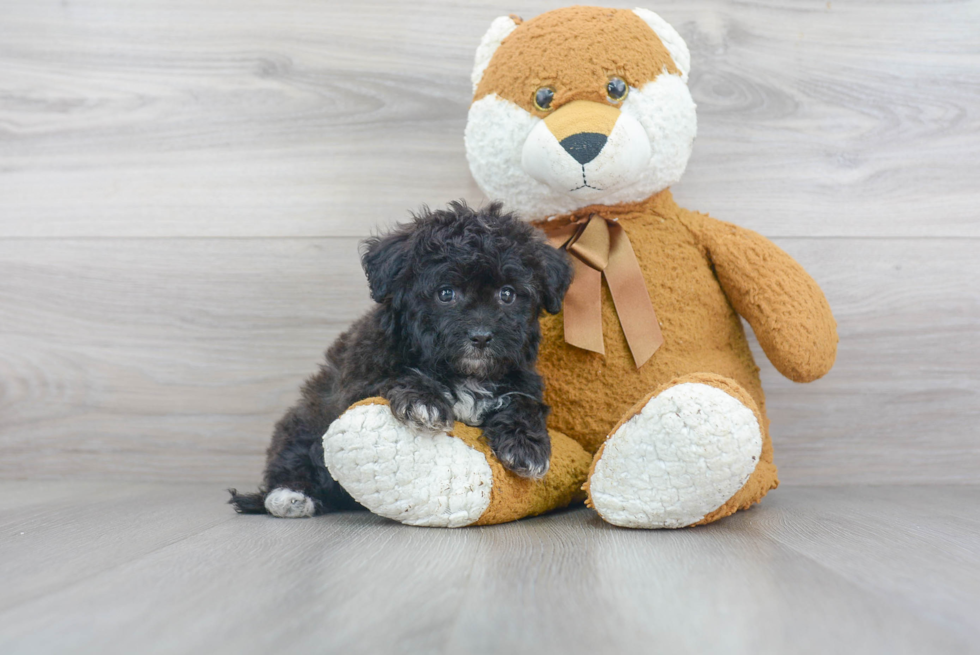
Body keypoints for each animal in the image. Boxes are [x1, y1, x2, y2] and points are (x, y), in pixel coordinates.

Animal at [228, 200, 576, 516]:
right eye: (445, 293)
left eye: (507, 294)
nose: (480, 336)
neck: (464, 374)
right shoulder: (357, 383)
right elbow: (395, 375)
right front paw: (425, 400)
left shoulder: (522, 376)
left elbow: (524, 401)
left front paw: (526, 445)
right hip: (304, 422)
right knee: (294, 459)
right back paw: (289, 497)